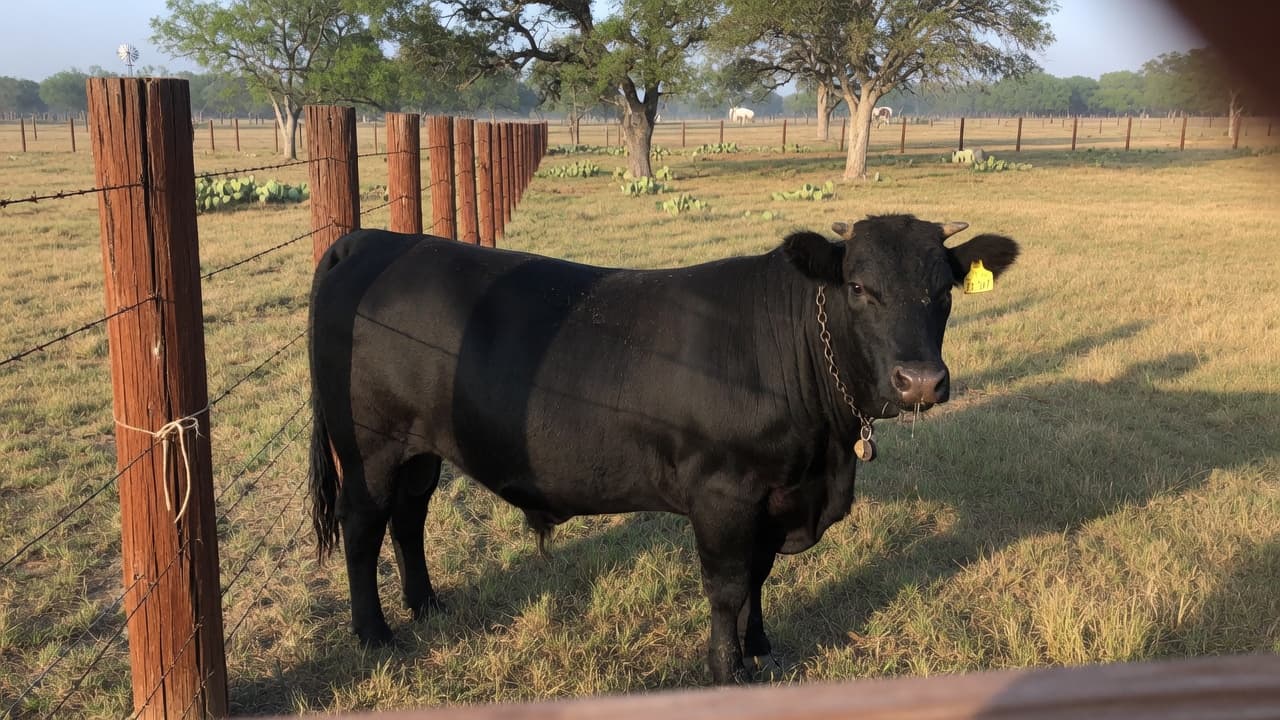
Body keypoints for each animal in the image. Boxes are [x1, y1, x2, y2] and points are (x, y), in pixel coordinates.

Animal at [308, 215, 1020, 684]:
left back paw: (427, 604)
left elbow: (758, 576)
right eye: (860, 288)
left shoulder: (775, 495)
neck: (826, 457)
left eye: (944, 291)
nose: (920, 381)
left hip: (420, 448)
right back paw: (375, 635)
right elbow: (728, 585)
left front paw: (760, 646)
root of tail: (372, 239)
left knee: (410, 516)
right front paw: (727, 669)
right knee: (364, 524)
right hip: (369, 445)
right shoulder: (724, 493)